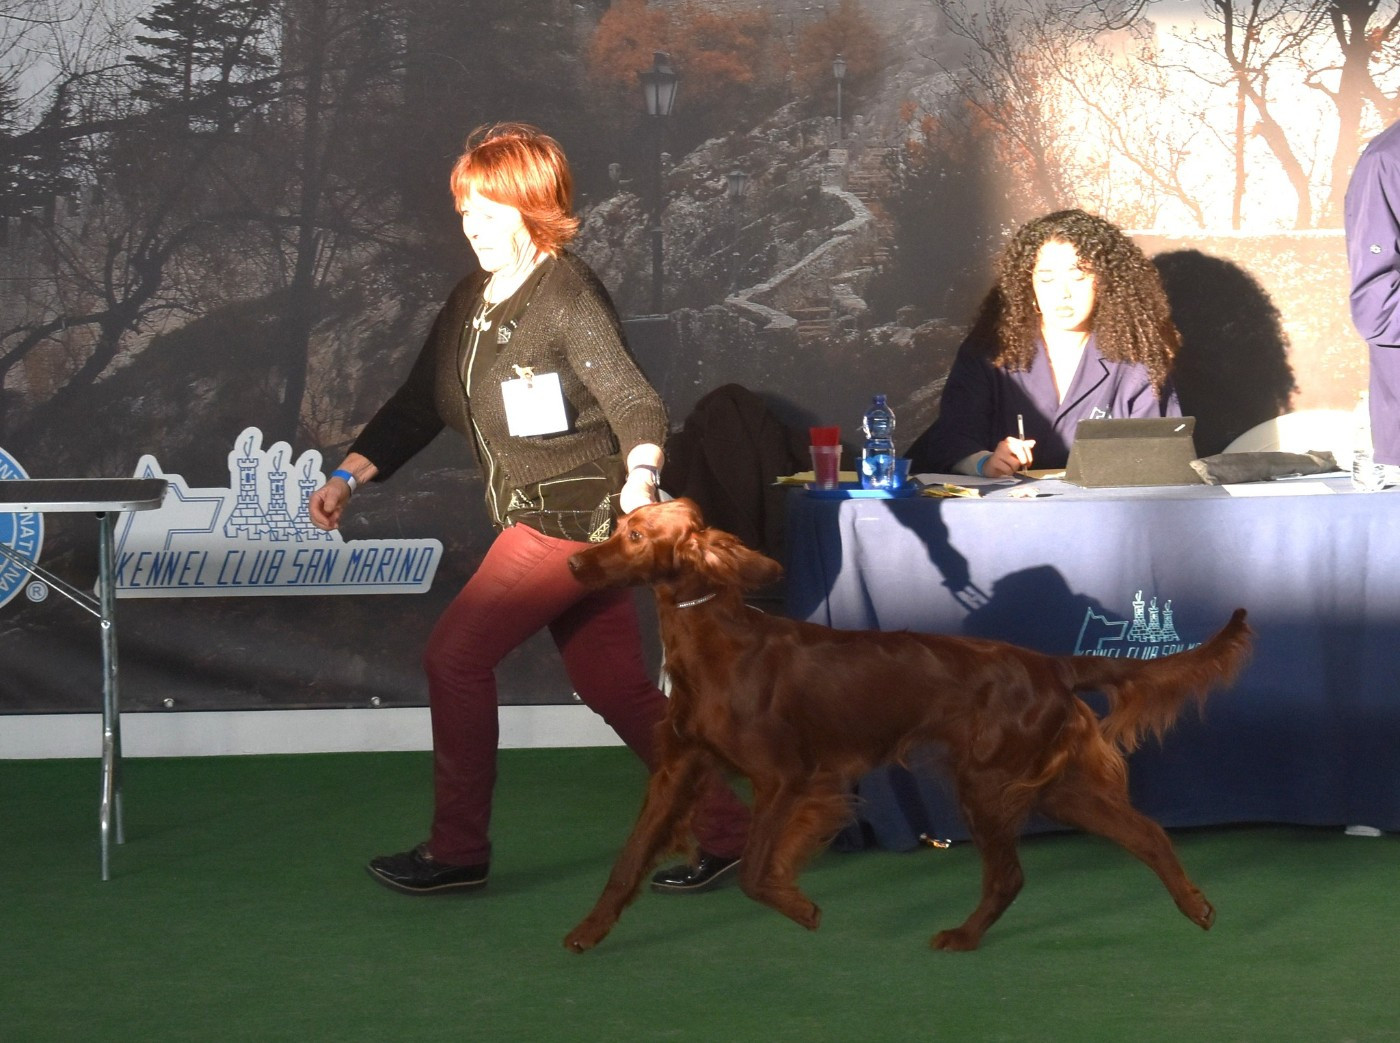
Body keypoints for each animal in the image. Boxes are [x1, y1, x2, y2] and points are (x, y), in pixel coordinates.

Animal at [563, 498, 1252, 952]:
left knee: (1011, 873)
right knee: (1146, 834)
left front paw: (801, 909)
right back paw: (1195, 906)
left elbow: (757, 871)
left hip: (989, 782)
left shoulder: (787, 776)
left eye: (634, 534)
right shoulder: (678, 770)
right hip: (1051, 785)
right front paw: (588, 930)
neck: (714, 643)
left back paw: (964, 937)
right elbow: (628, 860)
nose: (573, 567)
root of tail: (1050, 664)